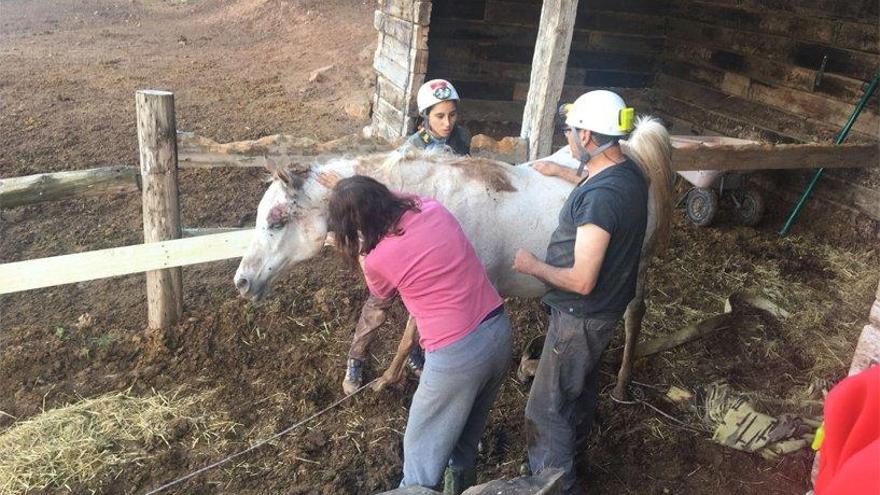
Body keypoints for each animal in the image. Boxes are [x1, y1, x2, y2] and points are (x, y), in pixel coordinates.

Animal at [234, 117, 672, 404]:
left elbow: (410, 333)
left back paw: (620, 384)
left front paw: (386, 381)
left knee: (633, 313)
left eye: (277, 219)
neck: (424, 199)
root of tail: (634, 156)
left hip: (637, 267)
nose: (242, 281)